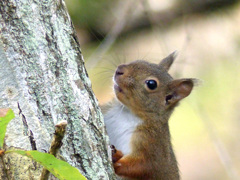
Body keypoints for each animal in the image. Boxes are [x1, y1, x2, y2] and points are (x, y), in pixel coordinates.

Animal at [101, 51, 197, 179]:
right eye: (140, 61)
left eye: (151, 84)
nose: (119, 69)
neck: (126, 112)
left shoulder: (153, 143)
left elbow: (145, 165)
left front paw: (117, 161)